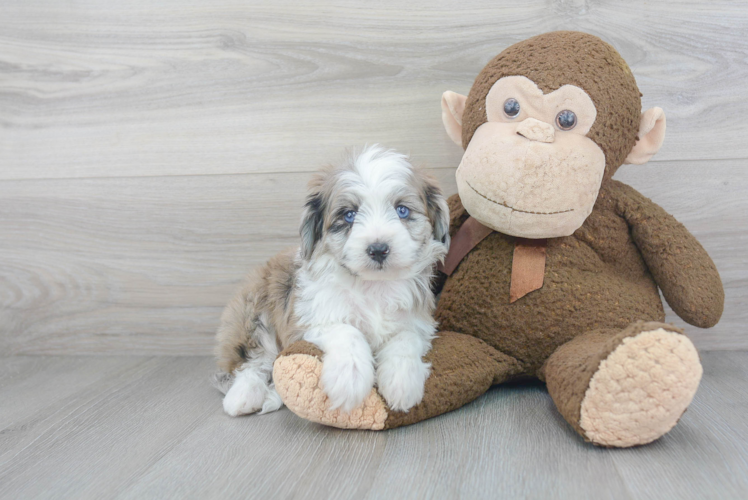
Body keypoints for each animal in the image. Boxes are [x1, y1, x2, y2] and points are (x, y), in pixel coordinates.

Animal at [215, 146, 450, 418]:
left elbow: (406, 338)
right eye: (349, 215)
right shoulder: (309, 319)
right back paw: (243, 396)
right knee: (254, 359)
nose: (378, 249)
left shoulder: (418, 320)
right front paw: (349, 379)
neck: (373, 285)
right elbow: (347, 331)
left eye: (402, 210)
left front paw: (402, 382)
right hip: (253, 312)